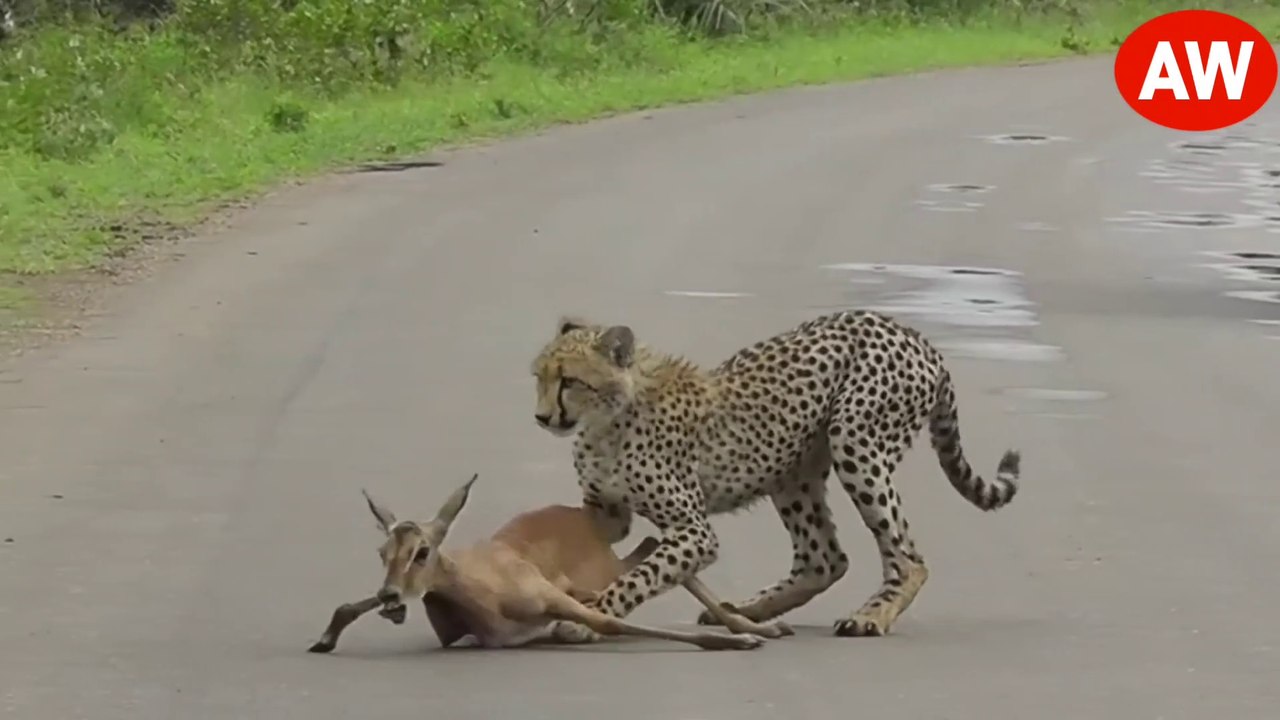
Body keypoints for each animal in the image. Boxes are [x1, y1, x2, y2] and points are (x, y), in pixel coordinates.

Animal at [307, 473, 783, 653]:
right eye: (382, 553)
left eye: (421, 552)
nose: (390, 594)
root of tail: (586, 517)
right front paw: (325, 638)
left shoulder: (554, 599)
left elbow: (609, 620)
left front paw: (739, 641)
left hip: (605, 573)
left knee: (655, 549)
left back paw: (757, 627)